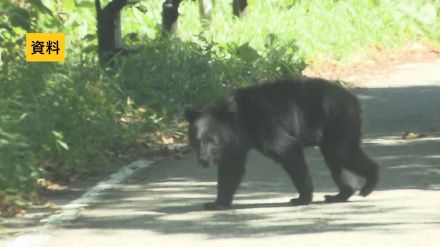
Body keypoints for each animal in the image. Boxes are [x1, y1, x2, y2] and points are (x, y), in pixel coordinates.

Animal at [185, 77, 378, 210]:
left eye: (212, 140)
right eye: (196, 141)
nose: (203, 160)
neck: (239, 120)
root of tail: (352, 98)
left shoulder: (265, 123)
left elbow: (286, 148)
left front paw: (302, 198)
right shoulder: (236, 142)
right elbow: (231, 168)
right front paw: (217, 203)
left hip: (338, 120)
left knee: (343, 152)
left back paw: (369, 183)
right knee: (335, 159)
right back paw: (340, 194)